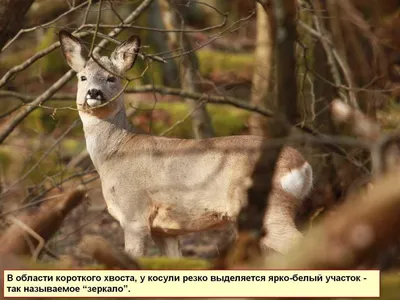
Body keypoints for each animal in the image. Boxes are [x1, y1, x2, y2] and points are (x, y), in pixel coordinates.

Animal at [58, 29, 312, 258]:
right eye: (82, 77)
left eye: (112, 78)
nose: (94, 92)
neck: (115, 154)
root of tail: (303, 166)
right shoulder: (165, 230)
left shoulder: (134, 214)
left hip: (268, 206)